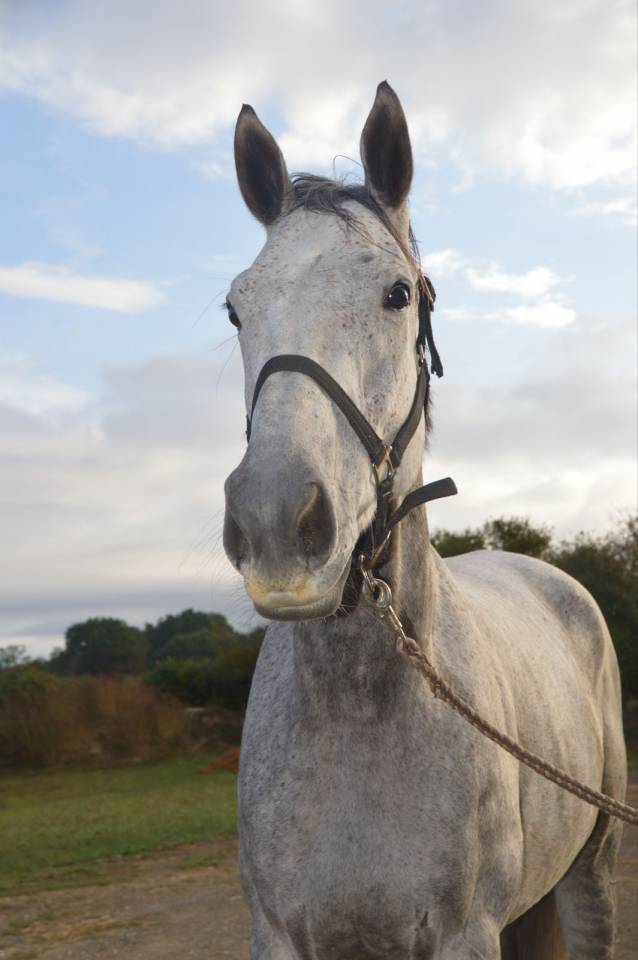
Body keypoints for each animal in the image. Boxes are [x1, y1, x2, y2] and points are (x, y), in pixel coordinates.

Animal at [221, 81, 626, 960]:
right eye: (235, 309)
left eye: (397, 294)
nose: (276, 524)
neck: (356, 713)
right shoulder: (279, 935)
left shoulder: (465, 934)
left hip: (592, 869)